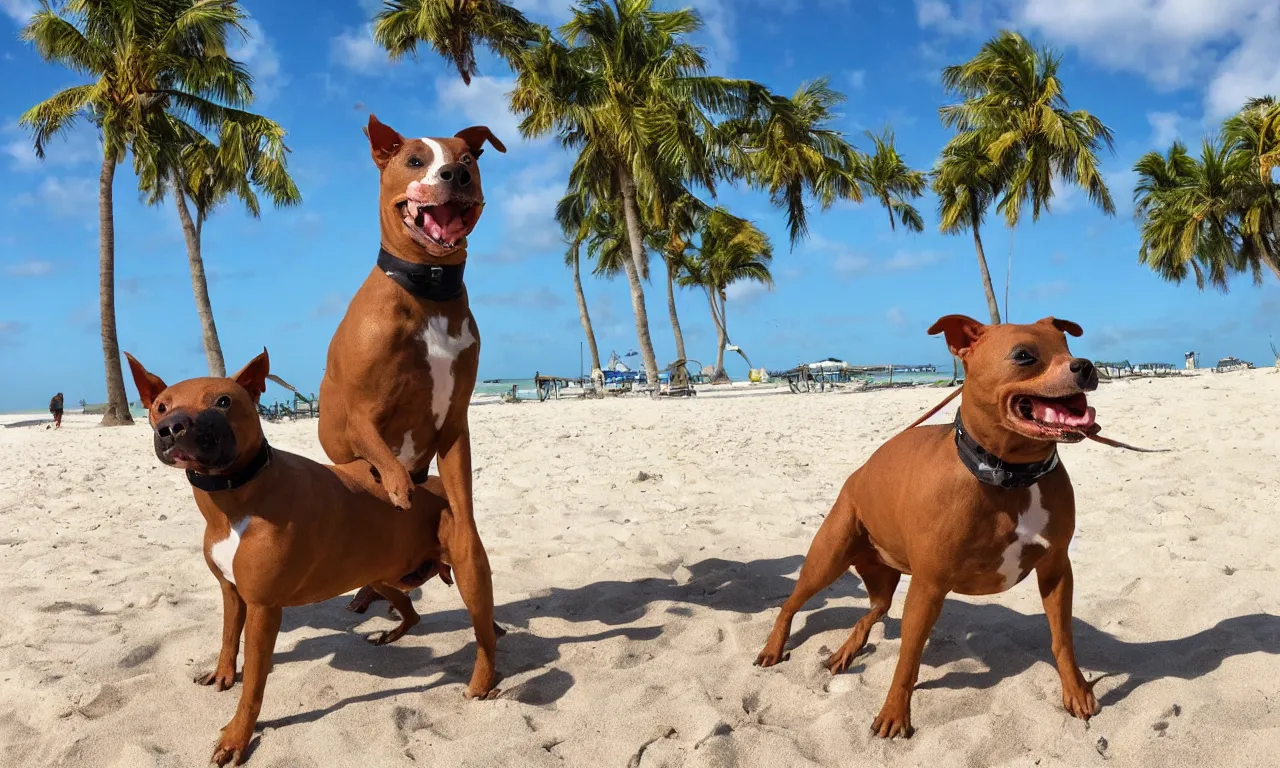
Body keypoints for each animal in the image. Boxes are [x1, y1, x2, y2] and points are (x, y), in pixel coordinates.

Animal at [124, 350, 473, 762]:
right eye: (161, 407)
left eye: (223, 401)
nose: (172, 427)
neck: (236, 497)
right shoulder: (231, 591)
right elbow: (227, 637)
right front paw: (224, 673)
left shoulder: (263, 608)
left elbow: (254, 686)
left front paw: (237, 737)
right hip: (381, 575)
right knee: (412, 611)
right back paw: (392, 633)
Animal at [314, 115, 504, 701]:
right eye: (415, 160)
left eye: (468, 159)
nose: (454, 174)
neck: (430, 290)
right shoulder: (360, 416)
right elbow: (377, 445)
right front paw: (398, 485)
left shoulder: (457, 422)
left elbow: (461, 486)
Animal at [757, 313, 1100, 737]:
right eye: (1024, 355)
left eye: (1067, 347)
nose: (1085, 366)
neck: (1008, 476)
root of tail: (858, 473)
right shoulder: (928, 588)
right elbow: (908, 657)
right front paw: (894, 712)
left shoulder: (1056, 570)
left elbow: (1062, 638)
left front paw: (1076, 690)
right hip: (826, 562)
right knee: (791, 604)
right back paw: (774, 647)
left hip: (882, 577)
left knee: (873, 611)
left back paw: (845, 651)